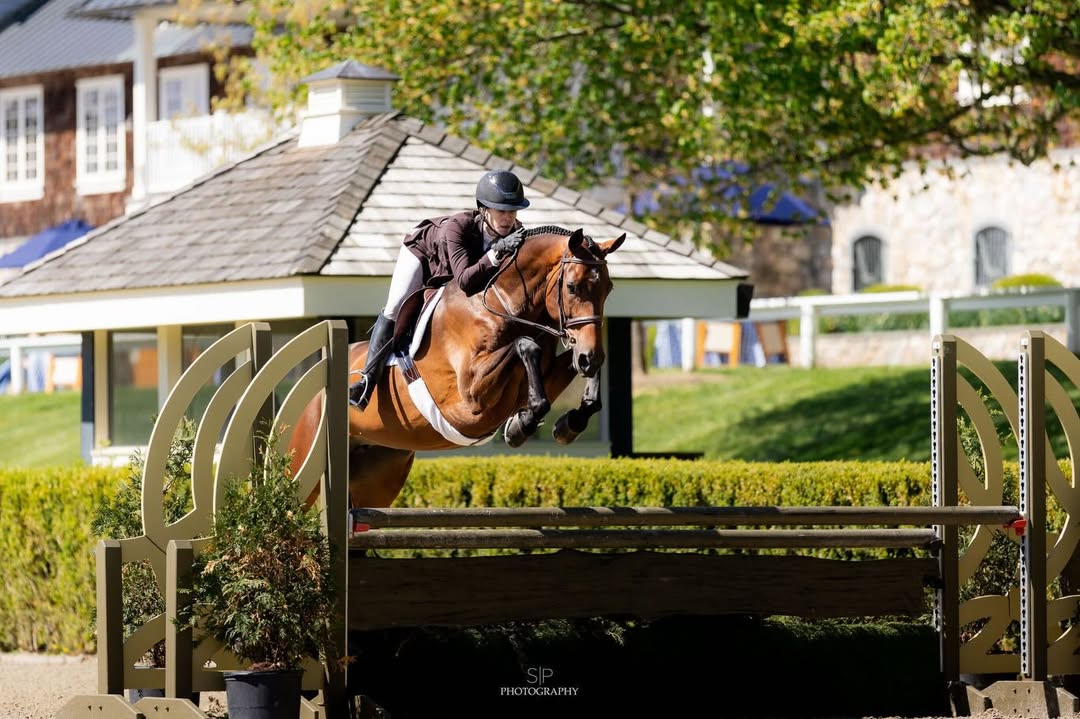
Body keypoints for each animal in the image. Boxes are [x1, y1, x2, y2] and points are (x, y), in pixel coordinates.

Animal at [287, 226, 625, 508]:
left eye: (609, 289)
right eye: (572, 286)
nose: (590, 356)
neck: (502, 304)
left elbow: (560, 370)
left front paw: (565, 423)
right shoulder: (470, 397)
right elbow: (525, 345)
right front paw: (523, 424)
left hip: (380, 478)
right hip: (306, 465)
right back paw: (359, 388)